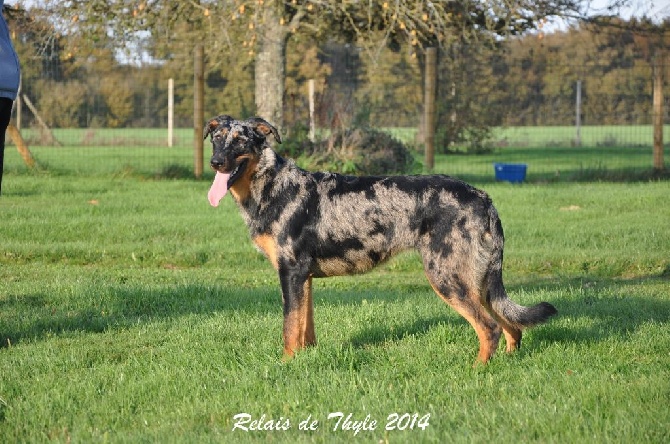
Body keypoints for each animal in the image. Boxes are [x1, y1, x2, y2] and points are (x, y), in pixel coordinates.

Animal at [207, 115, 560, 364]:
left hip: (447, 278)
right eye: (217, 139)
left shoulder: (291, 274)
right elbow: (305, 330)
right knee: (511, 325)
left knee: (490, 328)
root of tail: (484, 198)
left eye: (240, 140)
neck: (271, 186)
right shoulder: (303, 278)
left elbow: (289, 329)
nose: (215, 163)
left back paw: (476, 370)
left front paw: (286, 366)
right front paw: (306, 361)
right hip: (479, 280)